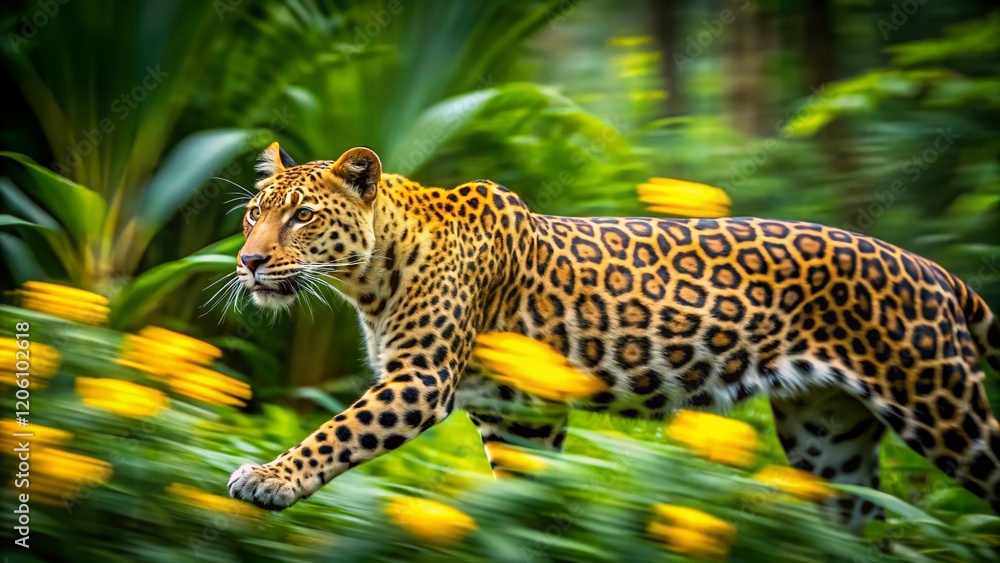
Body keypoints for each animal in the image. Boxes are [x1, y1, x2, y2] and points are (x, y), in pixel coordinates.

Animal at [227, 142, 1000, 532]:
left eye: (301, 216)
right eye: (252, 215)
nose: (248, 262)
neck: (372, 273)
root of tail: (935, 272)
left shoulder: (420, 381)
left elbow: (335, 432)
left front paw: (269, 477)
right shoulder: (518, 413)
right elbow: (527, 491)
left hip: (942, 407)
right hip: (829, 435)